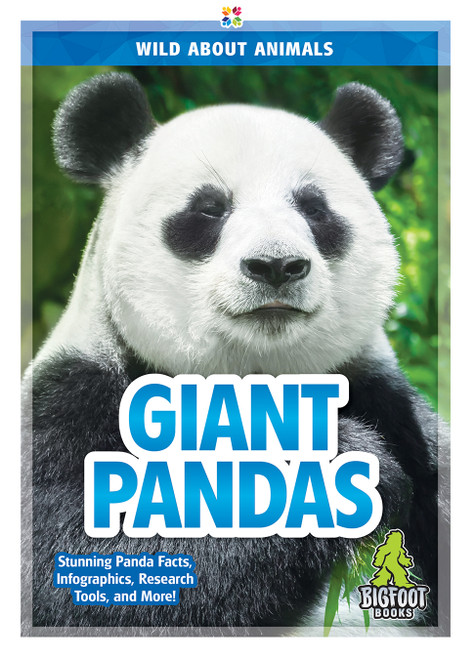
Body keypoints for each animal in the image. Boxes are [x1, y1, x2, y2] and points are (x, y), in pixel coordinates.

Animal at [24, 73, 444, 632]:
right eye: (209, 208)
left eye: (313, 209)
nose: (277, 265)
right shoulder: (71, 404)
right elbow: (92, 571)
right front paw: (337, 465)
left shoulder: (390, 404)